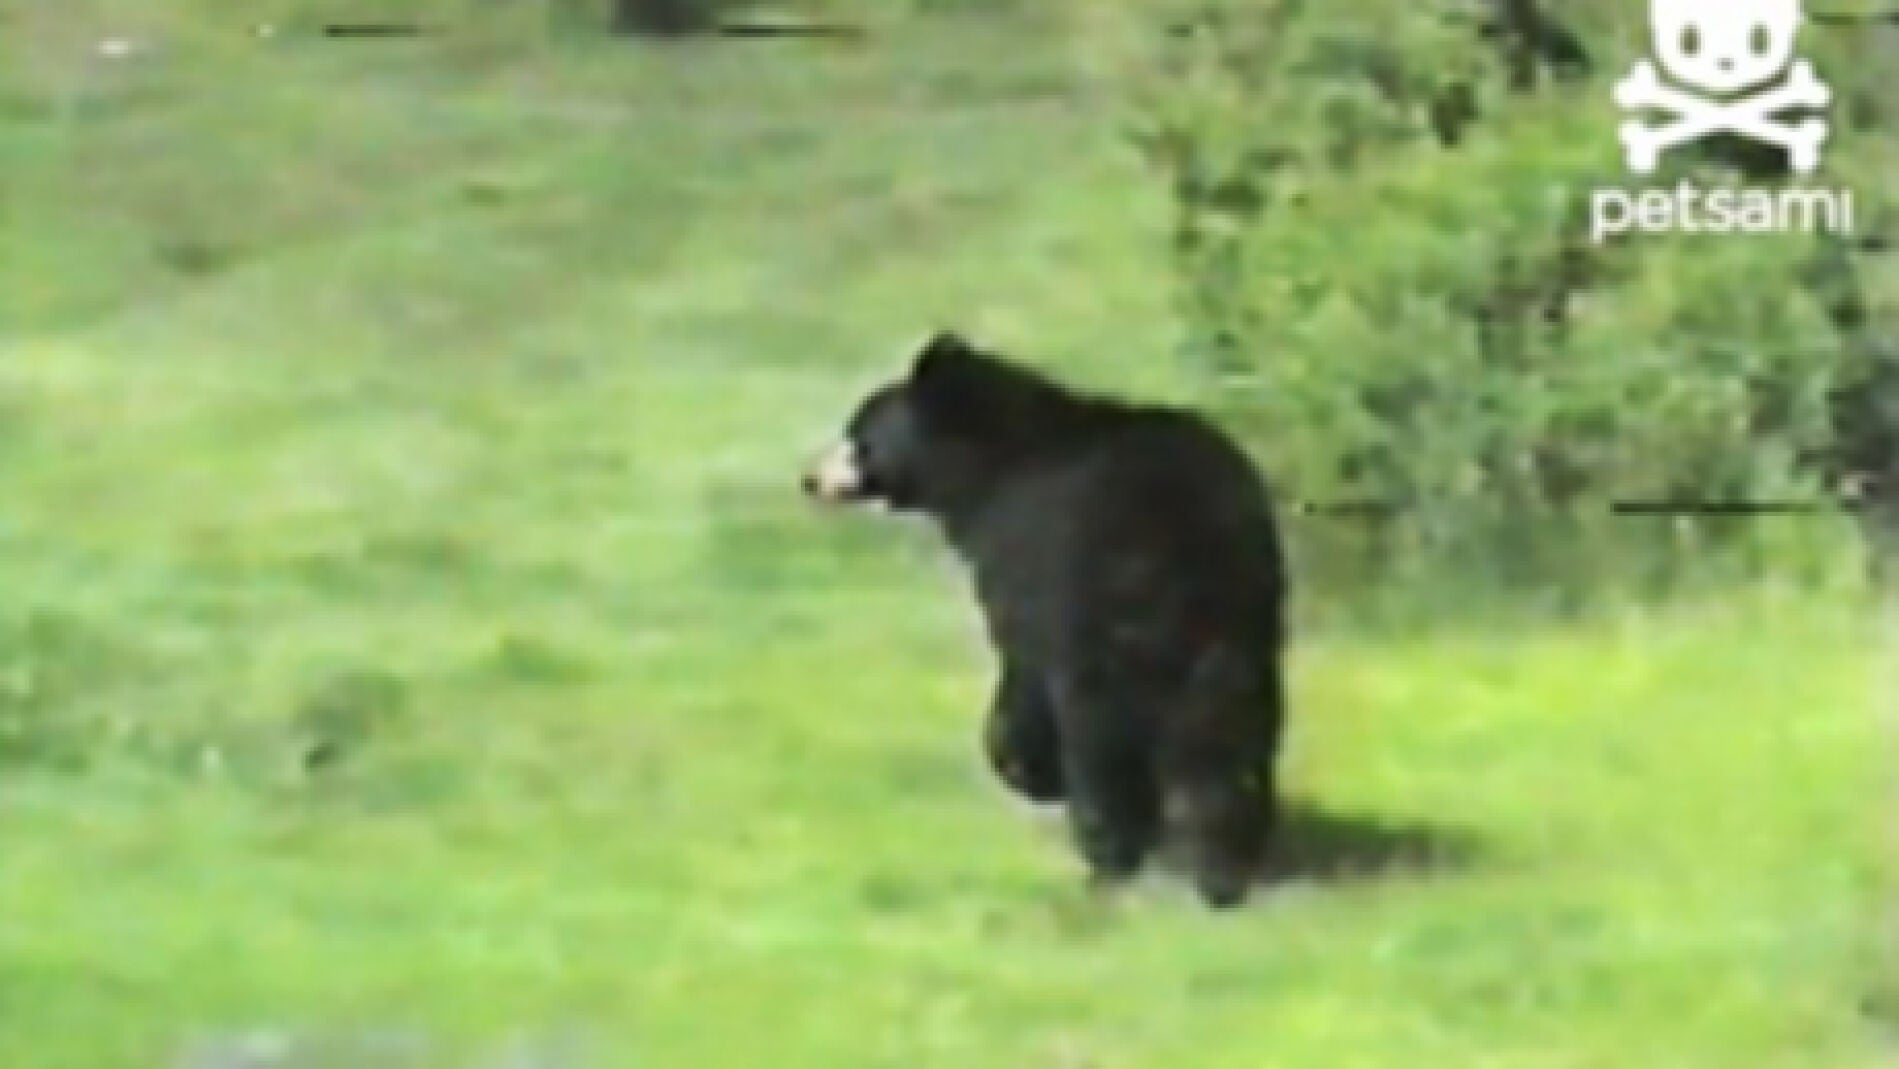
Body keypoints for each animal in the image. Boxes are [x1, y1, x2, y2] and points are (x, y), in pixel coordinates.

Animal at [801, 331, 1289, 908]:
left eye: (859, 434)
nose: (810, 479)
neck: (990, 471)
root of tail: (1191, 545)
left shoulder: (1032, 576)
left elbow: (1022, 678)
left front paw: (1028, 771)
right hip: (1241, 637)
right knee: (1227, 742)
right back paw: (1223, 870)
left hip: (1110, 631)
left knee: (1103, 741)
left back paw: (1110, 855)